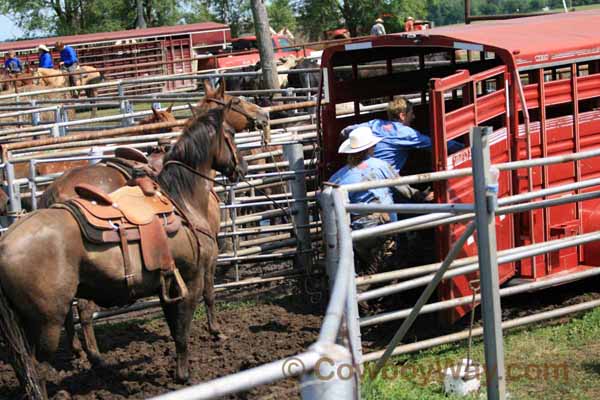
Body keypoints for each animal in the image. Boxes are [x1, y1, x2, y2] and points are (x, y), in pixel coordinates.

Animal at [0, 105, 246, 396]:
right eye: (231, 133)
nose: (242, 168)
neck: (182, 201)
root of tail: (5, 243)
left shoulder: (168, 283)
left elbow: (174, 326)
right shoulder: (194, 275)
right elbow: (191, 318)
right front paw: (188, 370)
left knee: (25, 366)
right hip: (46, 322)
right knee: (38, 366)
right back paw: (92, 361)